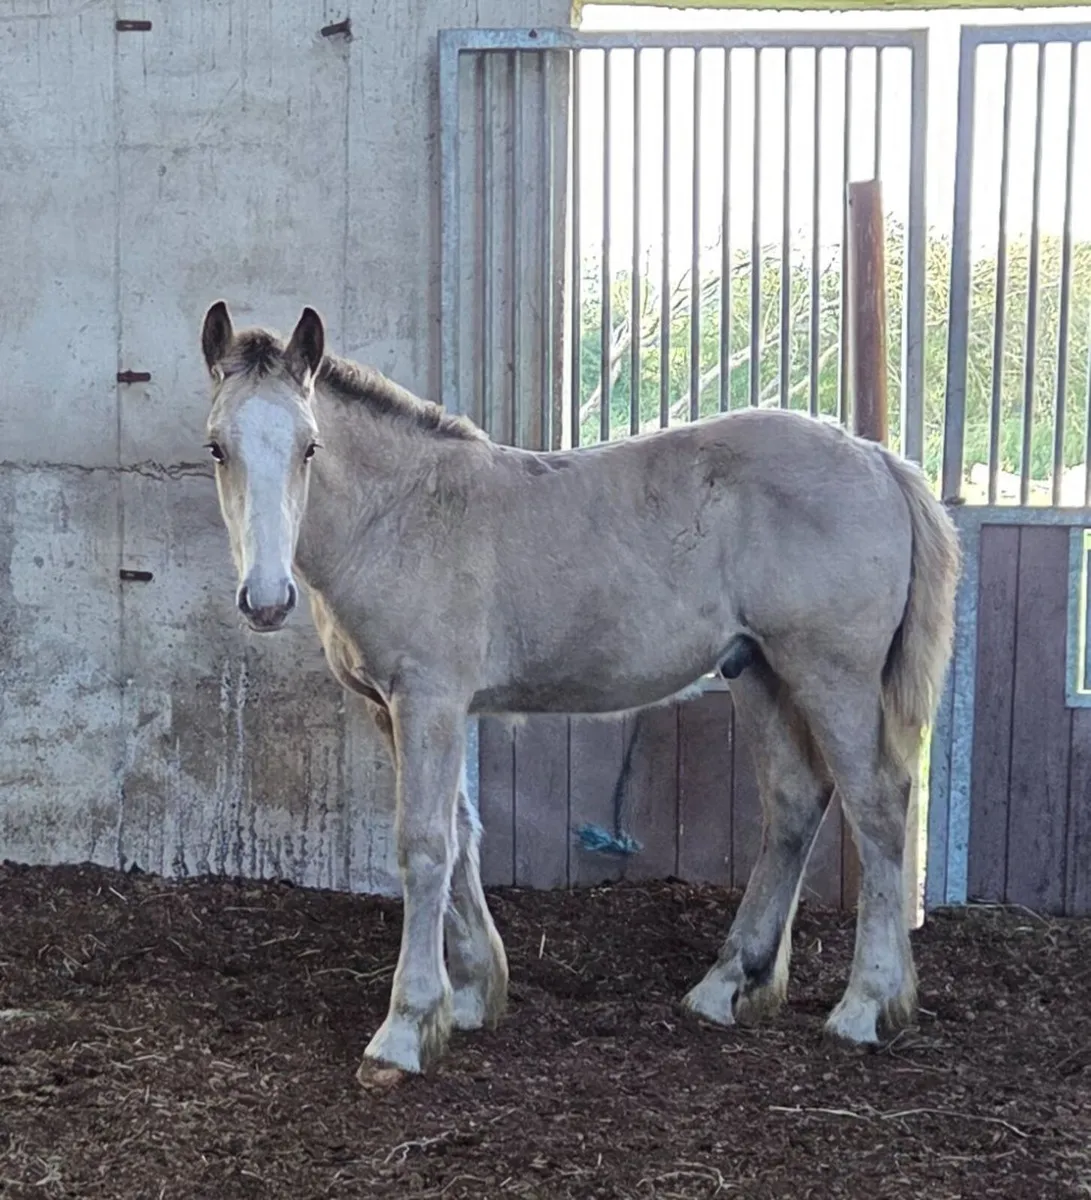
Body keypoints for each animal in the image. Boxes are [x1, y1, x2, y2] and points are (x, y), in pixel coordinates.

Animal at [198, 300, 960, 1085]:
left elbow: (426, 844)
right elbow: (462, 836)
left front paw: (406, 1028)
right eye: (218, 447)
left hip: (831, 675)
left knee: (878, 806)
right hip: (760, 672)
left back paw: (865, 1007)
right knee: (794, 803)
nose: (265, 599)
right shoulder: (394, 709)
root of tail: (877, 458)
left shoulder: (428, 701)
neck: (405, 513)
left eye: (310, 447)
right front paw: (471, 996)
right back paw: (726, 986)